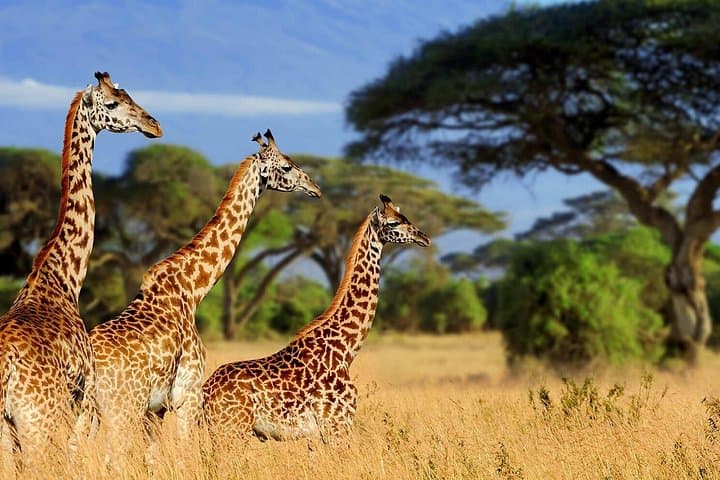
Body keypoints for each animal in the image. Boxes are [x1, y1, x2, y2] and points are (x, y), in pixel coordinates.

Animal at [89, 129, 321, 442]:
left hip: (88, 411)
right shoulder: (187, 394)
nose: (315, 187)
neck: (192, 289)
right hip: (122, 408)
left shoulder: (157, 408)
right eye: (286, 166)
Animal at [202, 194, 431, 444]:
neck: (345, 350)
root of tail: (205, 392)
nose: (424, 238)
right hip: (230, 429)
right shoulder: (337, 425)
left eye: (405, 217)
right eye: (393, 223)